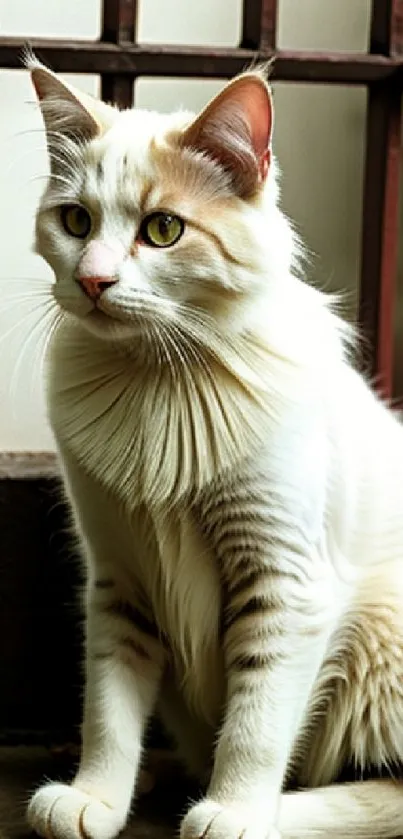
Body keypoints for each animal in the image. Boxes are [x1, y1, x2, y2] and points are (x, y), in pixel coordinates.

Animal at [23, 54, 403, 839]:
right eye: (75, 220)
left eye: (163, 228)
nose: (93, 280)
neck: (155, 380)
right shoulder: (118, 579)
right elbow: (108, 708)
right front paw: (97, 793)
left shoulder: (286, 581)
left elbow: (255, 722)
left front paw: (235, 808)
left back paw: (283, 811)